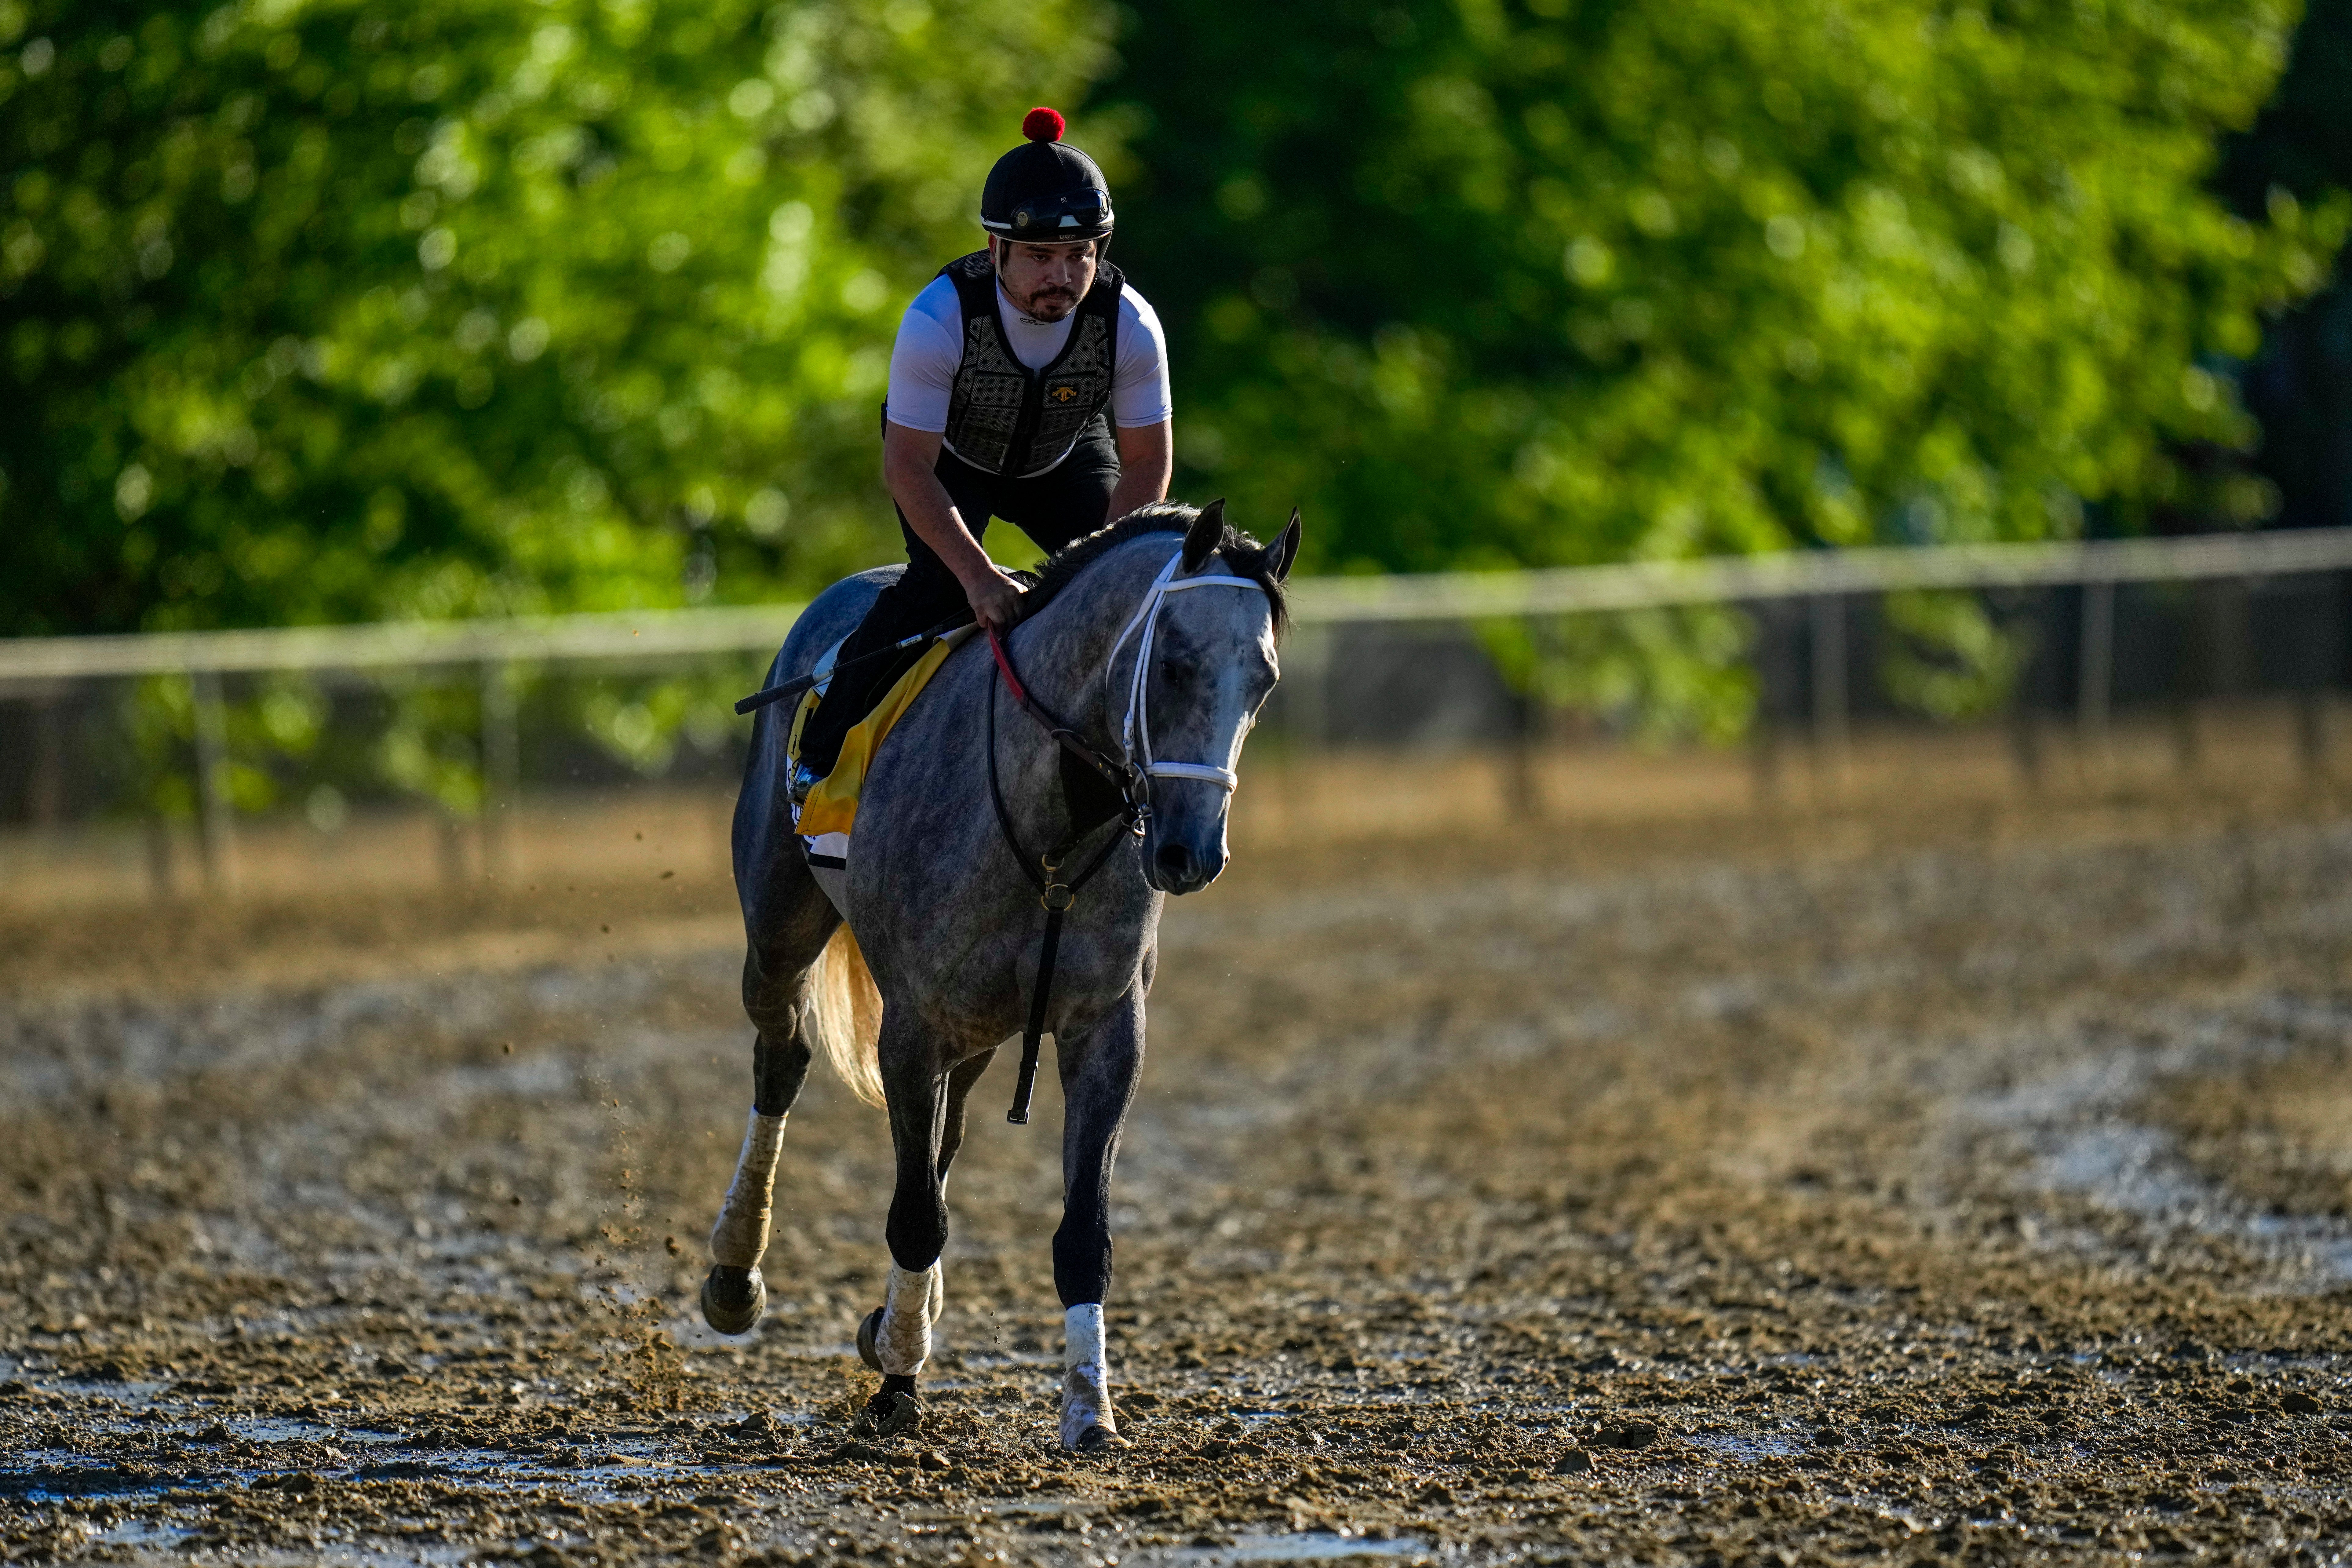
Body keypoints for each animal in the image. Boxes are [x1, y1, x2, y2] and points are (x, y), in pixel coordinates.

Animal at [706, 503, 1298, 1448]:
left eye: (1264, 681)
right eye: (1174, 664)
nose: (1190, 851)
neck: (1054, 817)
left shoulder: (1106, 1028)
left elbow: (1080, 1232)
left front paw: (1090, 1408)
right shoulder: (911, 1027)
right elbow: (915, 1215)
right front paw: (898, 1385)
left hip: (982, 1025)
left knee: (942, 1134)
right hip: (778, 926)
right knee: (781, 1059)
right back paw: (737, 1273)